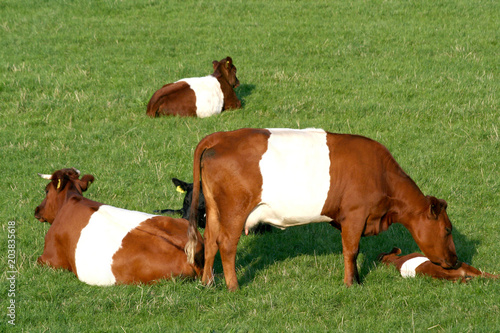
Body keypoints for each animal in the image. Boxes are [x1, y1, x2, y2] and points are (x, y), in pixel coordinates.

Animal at [184, 128, 458, 290]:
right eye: (447, 229)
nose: (455, 261)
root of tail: (222, 136)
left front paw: (356, 280)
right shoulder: (354, 215)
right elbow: (351, 250)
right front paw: (351, 284)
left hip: (214, 209)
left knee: (210, 240)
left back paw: (208, 282)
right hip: (235, 210)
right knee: (226, 245)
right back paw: (233, 287)